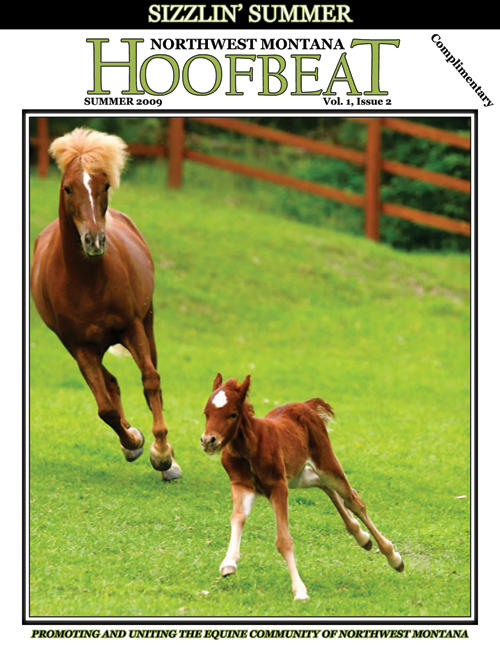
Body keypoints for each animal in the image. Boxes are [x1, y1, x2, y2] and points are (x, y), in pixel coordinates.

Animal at [30, 128, 181, 481]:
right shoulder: (80, 347)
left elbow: (150, 381)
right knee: (110, 385)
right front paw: (133, 441)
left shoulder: (132, 326)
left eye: (106, 185)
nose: (95, 240)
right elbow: (106, 408)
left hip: (147, 322)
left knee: (149, 378)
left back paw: (167, 458)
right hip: (82, 347)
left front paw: (162, 456)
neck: (86, 281)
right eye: (68, 187)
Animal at [201, 374, 404, 601]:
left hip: (325, 461)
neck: (249, 447)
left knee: (352, 499)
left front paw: (299, 590)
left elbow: (283, 539)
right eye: (206, 413)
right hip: (297, 475)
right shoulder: (241, 484)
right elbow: (237, 517)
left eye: (233, 414)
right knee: (319, 481)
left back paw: (393, 557)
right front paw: (228, 563)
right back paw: (362, 537)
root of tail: (306, 405)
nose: (208, 441)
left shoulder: (278, 487)